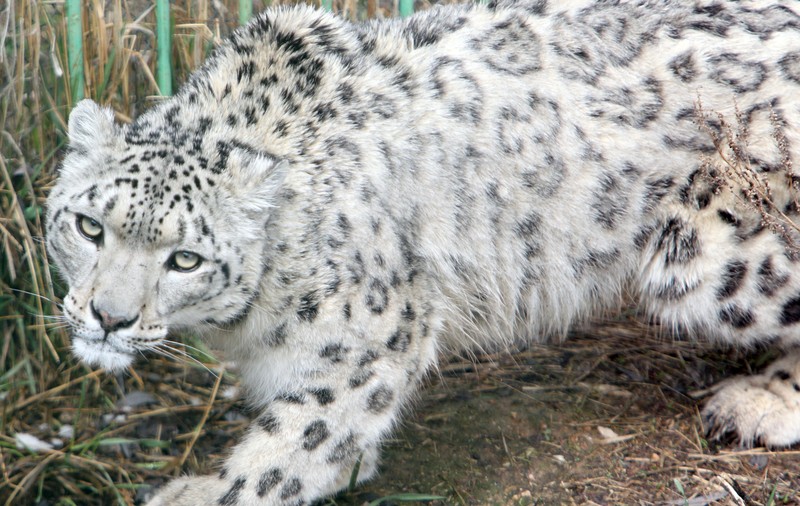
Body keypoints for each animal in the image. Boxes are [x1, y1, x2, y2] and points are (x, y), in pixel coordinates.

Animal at [45, 0, 800, 504]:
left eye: (185, 259)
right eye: (87, 226)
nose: (108, 317)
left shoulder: (374, 336)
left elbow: (298, 442)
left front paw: (210, 489)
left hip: (711, 258)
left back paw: (760, 404)